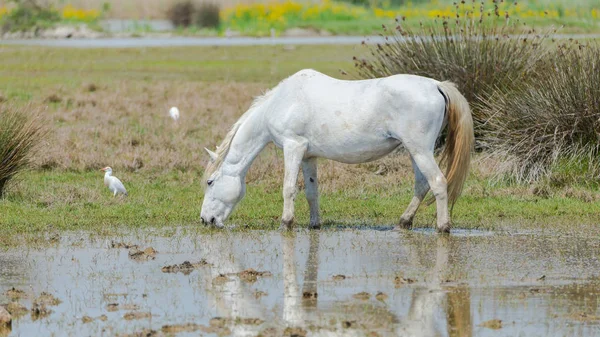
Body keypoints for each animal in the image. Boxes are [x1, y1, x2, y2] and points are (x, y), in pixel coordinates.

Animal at [202, 68, 474, 231]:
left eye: (210, 182)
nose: (206, 220)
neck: (281, 102)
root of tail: (436, 85)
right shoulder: (308, 156)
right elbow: (311, 192)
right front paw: (314, 224)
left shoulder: (293, 147)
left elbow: (288, 188)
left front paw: (286, 223)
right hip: (414, 151)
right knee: (422, 184)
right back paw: (404, 222)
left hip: (420, 150)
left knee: (437, 182)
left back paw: (443, 227)